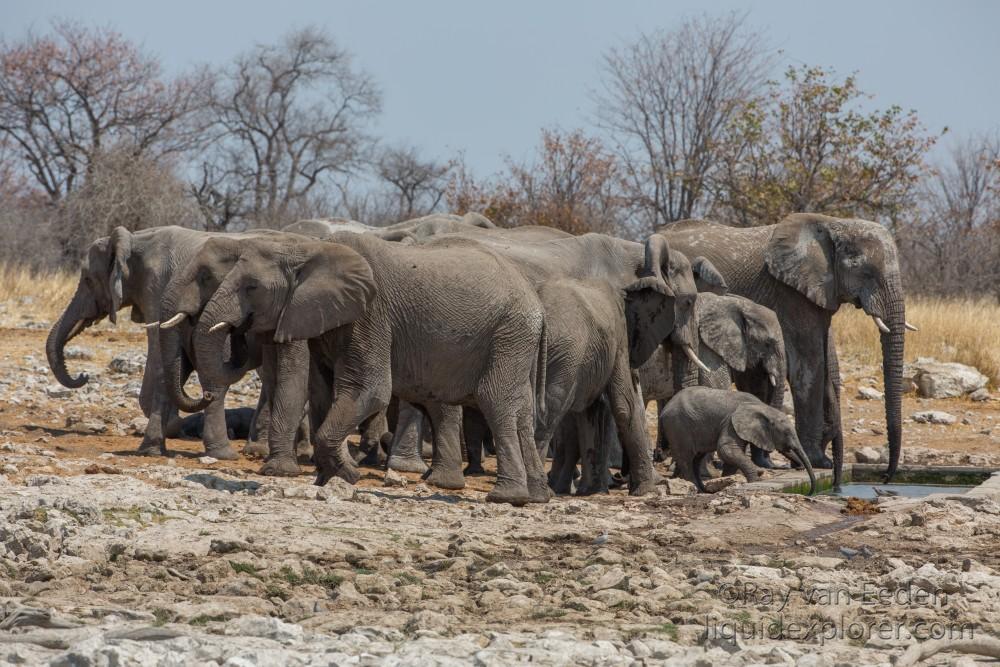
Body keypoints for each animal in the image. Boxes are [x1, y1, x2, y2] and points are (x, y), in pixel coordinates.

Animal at [660, 214, 912, 480]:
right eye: (866, 271)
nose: (886, 476)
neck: (833, 223)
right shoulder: (791, 293)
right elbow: (809, 364)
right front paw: (820, 461)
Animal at [660, 388, 816, 494]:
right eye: (787, 433)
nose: (799, 468)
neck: (764, 408)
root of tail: (663, 411)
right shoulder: (730, 422)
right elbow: (726, 450)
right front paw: (755, 481)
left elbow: (731, 456)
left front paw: (726, 481)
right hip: (678, 426)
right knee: (686, 457)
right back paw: (695, 488)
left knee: (696, 459)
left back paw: (701, 489)